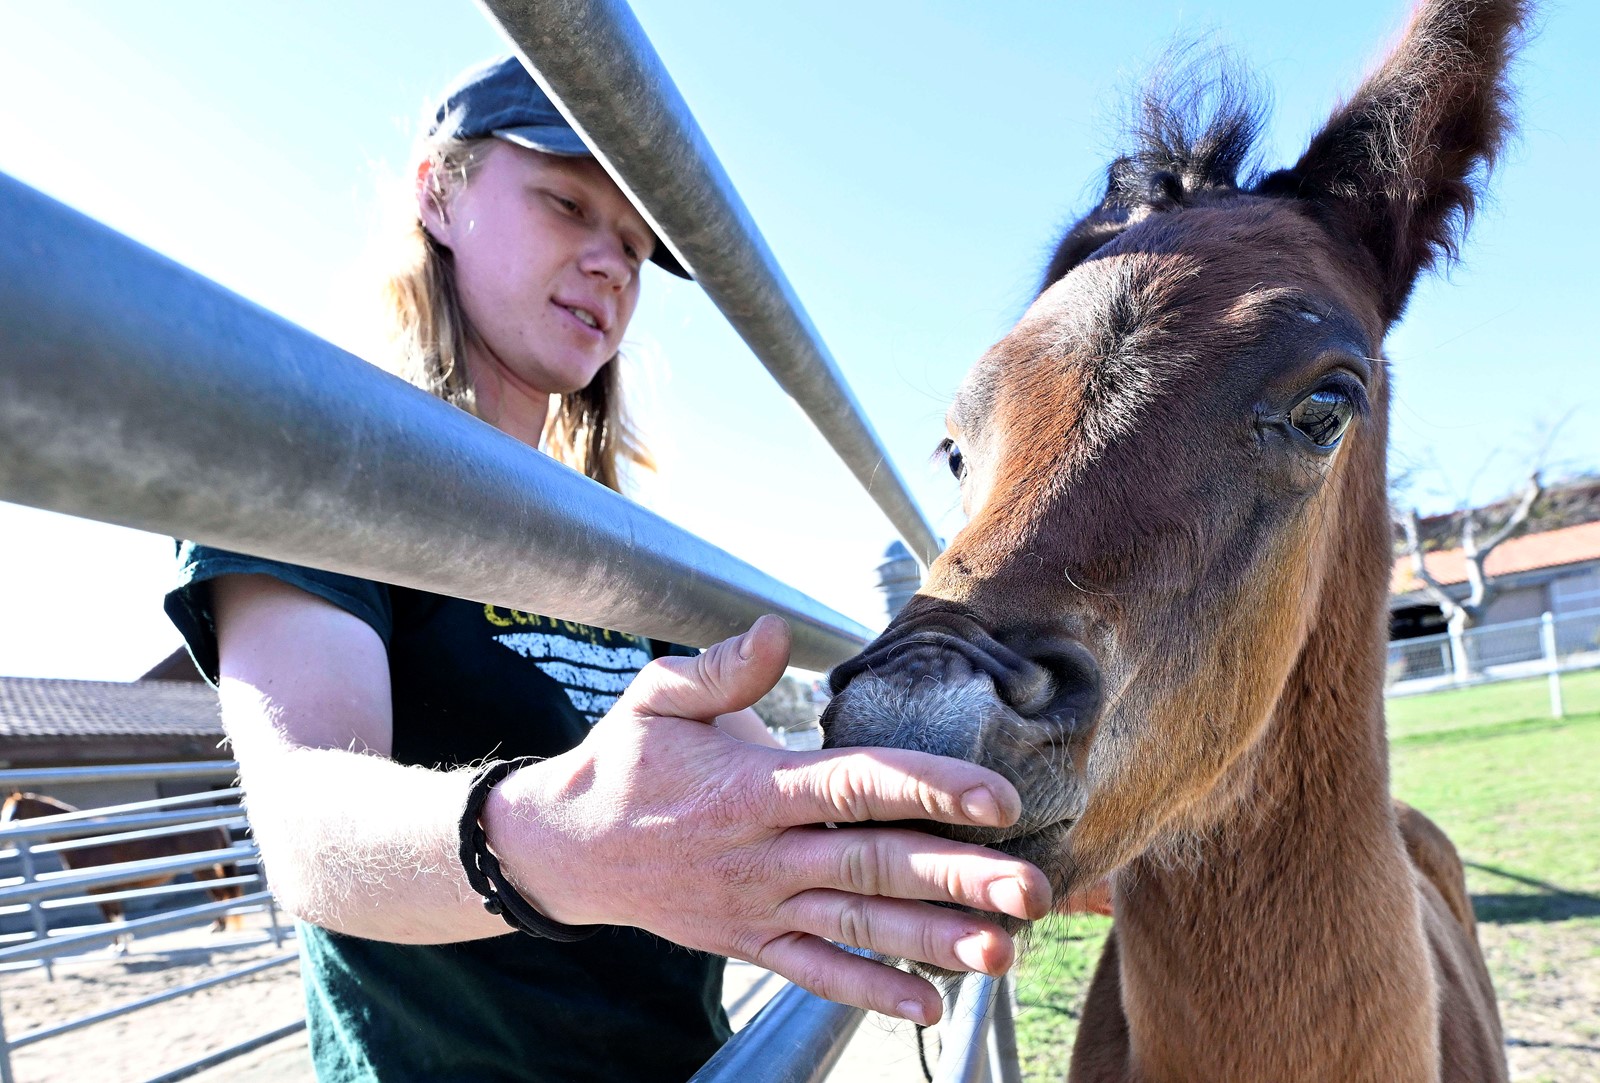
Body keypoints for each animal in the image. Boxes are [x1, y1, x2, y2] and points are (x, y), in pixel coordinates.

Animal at [2, 791, 247, 943]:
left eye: (13, 813)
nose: (3, 839)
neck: (84, 839)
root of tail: (215, 825)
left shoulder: (101, 888)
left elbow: (111, 914)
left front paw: (120, 945)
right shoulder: (102, 888)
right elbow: (113, 915)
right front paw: (122, 943)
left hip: (203, 870)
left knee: (220, 894)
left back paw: (218, 926)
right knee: (218, 895)